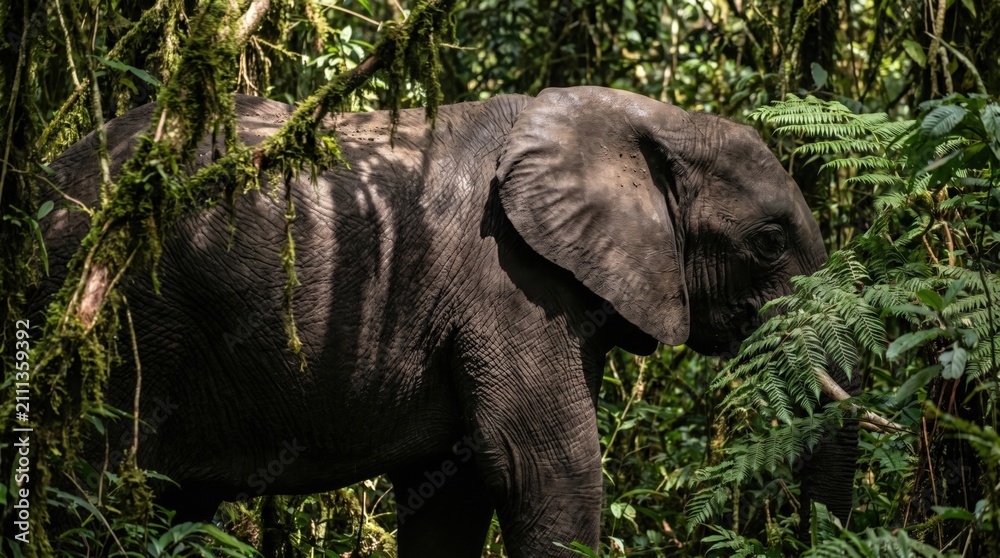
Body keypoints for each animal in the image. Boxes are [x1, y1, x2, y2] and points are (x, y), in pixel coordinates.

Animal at [34, 86, 829, 557]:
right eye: (768, 242)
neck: (647, 118)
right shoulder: (509, 282)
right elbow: (541, 468)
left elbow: (452, 489)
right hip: (120, 319)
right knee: (88, 485)